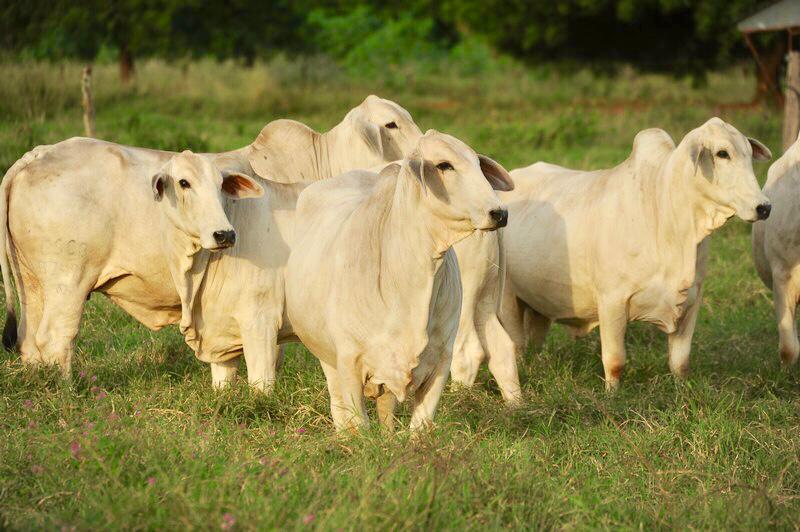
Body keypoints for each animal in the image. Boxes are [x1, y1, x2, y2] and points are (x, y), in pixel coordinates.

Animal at [0, 148, 260, 376]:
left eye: (221, 185)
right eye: (184, 183)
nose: (225, 234)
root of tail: (36, 155)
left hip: (32, 283)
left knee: (29, 339)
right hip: (68, 281)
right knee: (55, 338)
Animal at [288, 130, 512, 432]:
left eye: (478, 163)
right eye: (444, 165)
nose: (499, 213)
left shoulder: (441, 359)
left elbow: (419, 426)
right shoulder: (349, 362)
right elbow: (359, 424)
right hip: (327, 357)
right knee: (339, 408)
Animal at [500, 118, 768, 388]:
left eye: (748, 153)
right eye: (722, 153)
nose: (764, 207)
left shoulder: (692, 299)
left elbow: (680, 363)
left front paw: (681, 389)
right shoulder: (612, 300)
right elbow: (615, 360)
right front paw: (612, 393)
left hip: (537, 302)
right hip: (507, 298)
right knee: (516, 345)